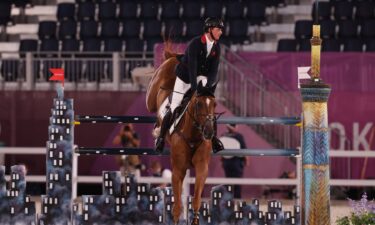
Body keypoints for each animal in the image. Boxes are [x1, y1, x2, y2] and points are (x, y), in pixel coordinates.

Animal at [146, 47, 217, 225]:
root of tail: (174, 57)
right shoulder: (178, 170)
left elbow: (197, 200)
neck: (193, 134)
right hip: (151, 98)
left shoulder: (202, 168)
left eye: (214, 104)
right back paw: (157, 132)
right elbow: (177, 206)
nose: (209, 132)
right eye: (198, 104)